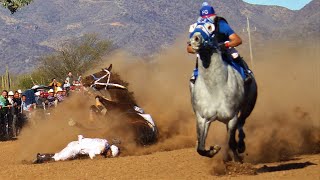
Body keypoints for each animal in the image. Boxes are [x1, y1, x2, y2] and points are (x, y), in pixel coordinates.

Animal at [189, 19, 256, 161]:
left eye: (210, 27)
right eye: (193, 26)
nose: (195, 39)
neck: (214, 88)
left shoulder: (232, 117)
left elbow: (231, 142)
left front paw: (238, 162)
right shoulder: (202, 118)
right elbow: (200, 148)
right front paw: (214, 149)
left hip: (248, 107)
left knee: (241, 122)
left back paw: (241, 145)